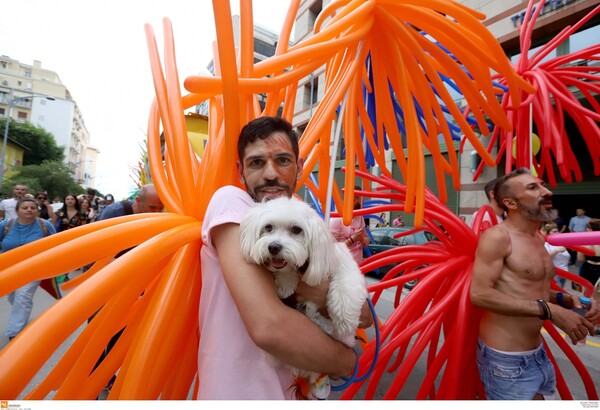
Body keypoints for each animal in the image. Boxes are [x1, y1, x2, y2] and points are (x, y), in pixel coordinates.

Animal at [239, 197, 366, 398]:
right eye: (268, 227)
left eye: (297, 229)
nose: (273, 247)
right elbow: (284, 274)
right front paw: (286, 283)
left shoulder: (339, 260)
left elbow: (346, 283)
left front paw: (345, 319)